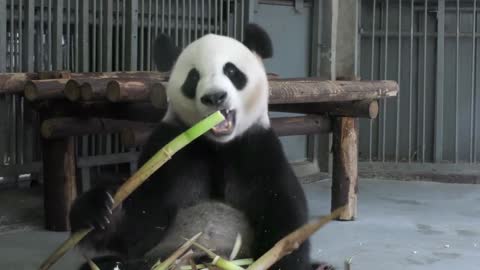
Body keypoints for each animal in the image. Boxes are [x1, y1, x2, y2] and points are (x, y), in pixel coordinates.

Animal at [68, 23, 330, 270]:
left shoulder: (257, 150)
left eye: (231, 70)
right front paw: (99, 207)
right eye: (193, 78)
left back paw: (321, 266)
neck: (217, 147)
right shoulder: (170, 153)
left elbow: (283, 219)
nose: (215, 97)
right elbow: (139, 225)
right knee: (111, 264)